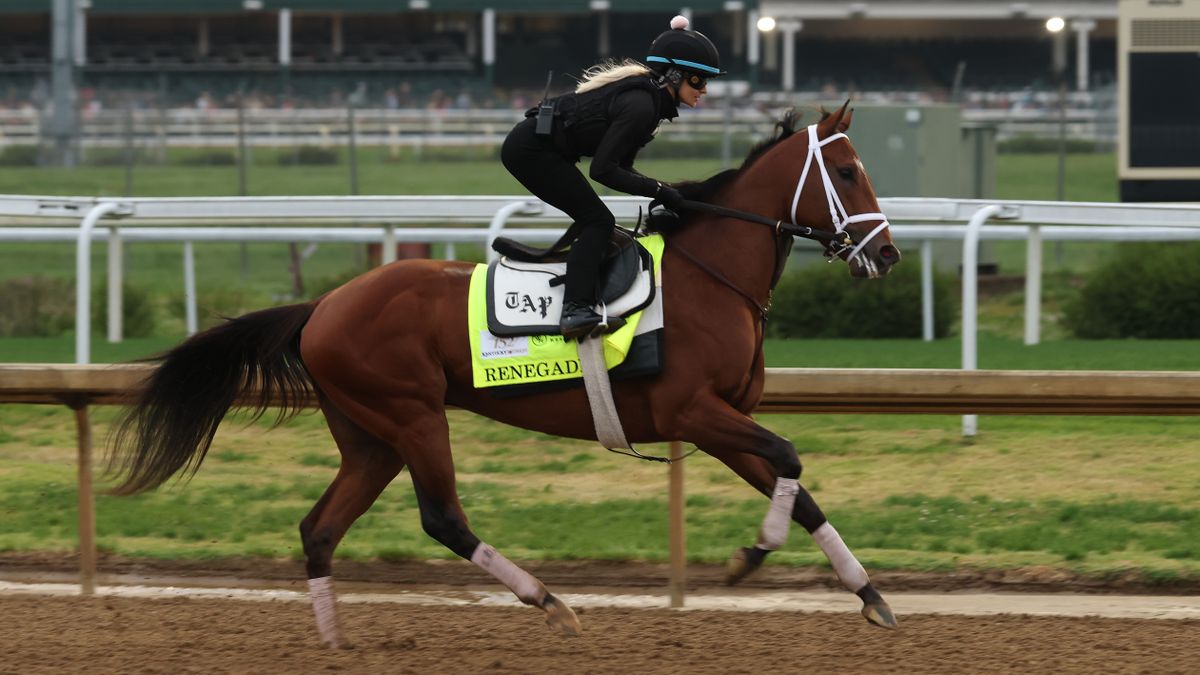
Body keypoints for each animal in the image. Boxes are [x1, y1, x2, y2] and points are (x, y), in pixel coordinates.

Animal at [107, 102, 902, 648]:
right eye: (847, 172)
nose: (887, 254)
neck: (711, 276)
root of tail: (322, 306)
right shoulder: (693, 413)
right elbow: (790, 461)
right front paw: (749, 557)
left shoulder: (722, 421)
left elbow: (797, 487)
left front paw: (869, 594)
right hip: (413, 413)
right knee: (441, 517)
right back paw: (549, 600)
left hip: (370, 437)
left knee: (320, 528)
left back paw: (335, 640)